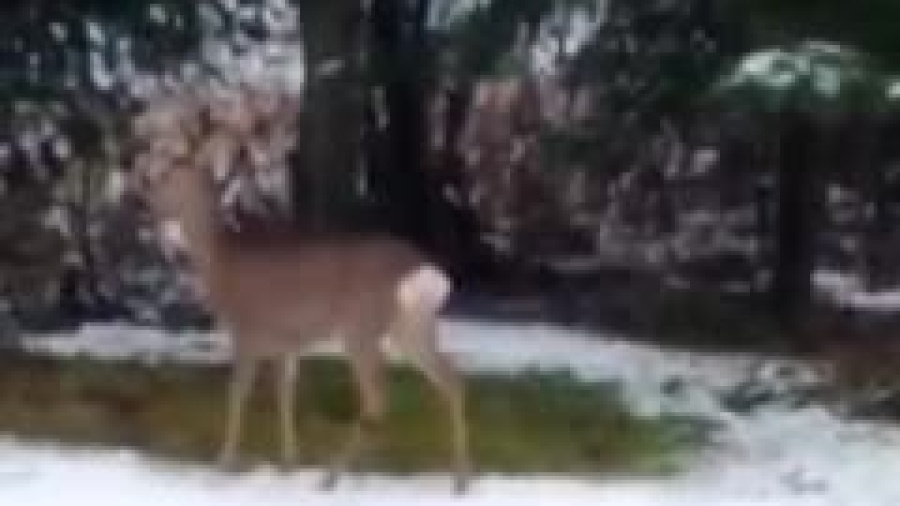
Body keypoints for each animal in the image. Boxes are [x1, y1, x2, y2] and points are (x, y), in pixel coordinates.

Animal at [131, 86, 474, 490]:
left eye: (169, 175)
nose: (142, 203)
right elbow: (285, 396)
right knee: (451, 380)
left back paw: (333, 477)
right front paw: (288, 464)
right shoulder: (286, 342)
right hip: (411, 326)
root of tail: (427, 271)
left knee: (378, 398)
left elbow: (238, 395)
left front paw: (224, 463)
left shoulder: (248, 331)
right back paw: (458, 480)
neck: (222, 261)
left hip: (361, 327)